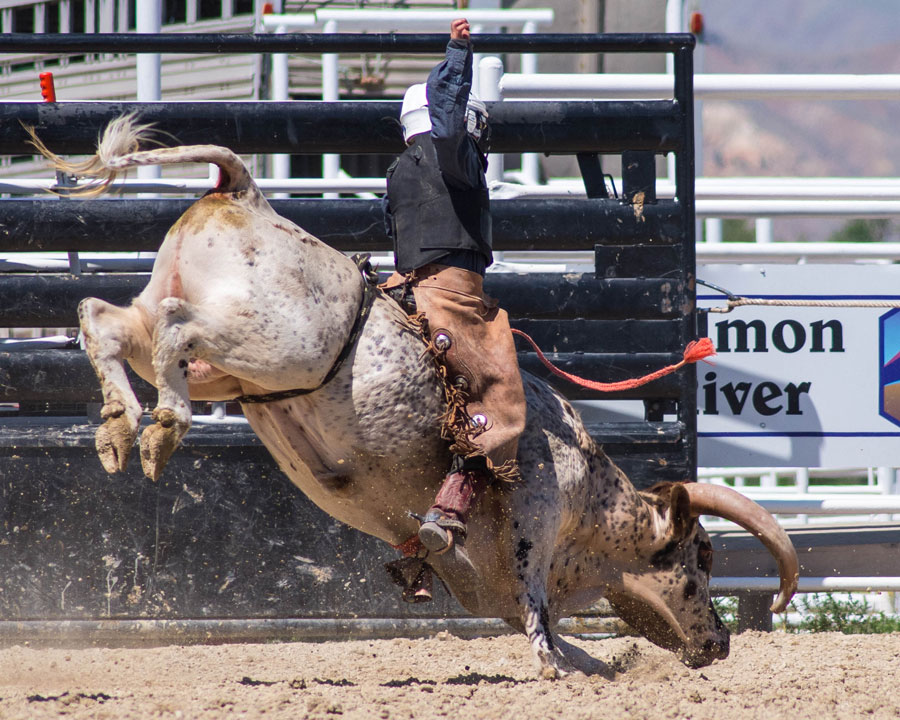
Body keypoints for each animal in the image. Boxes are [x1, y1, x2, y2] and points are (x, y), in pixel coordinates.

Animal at [31, 115, 798, 678]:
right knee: (174, 328)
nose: (721, 642)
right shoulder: (535, 510)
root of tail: (246, 190)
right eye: (703, 557)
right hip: (269, 339)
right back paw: (164, 424)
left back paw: (121, 427)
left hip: (226, 354)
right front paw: (551, 663)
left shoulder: (481, 584)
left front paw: (592, 666)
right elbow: (537, 605)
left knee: (105, 320)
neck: (593, 504)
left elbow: (555, 633)